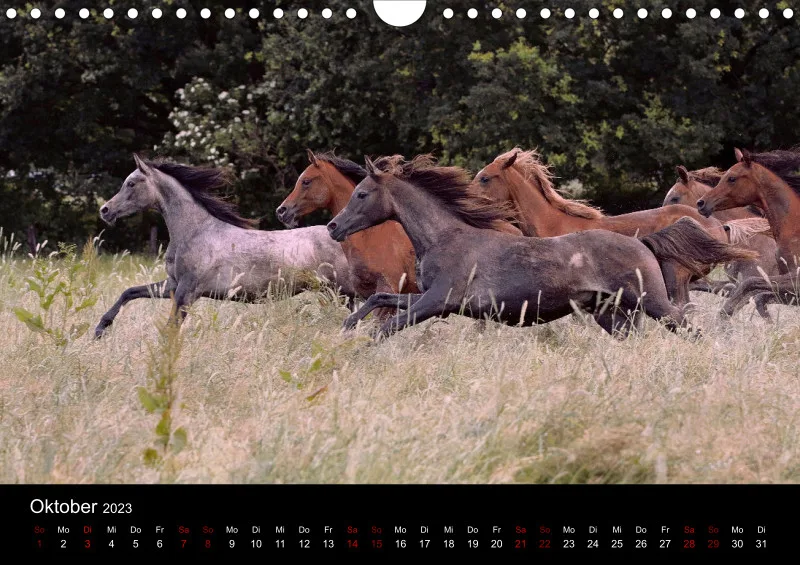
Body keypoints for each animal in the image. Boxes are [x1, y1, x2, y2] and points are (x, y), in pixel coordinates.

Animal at [94, 154, 356, 337]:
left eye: (132, 183)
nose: (105, 210)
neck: (194, 232)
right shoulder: (173, 285)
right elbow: (129, 292)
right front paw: (100, 329)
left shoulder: (187, 292)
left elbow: (170, 328)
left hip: (345, 289)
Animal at [697, 148, 800, 319]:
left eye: (732, 178)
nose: (701, 203)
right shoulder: (790, 291)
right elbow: (759, 297)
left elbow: (749, 283)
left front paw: (724, 315)